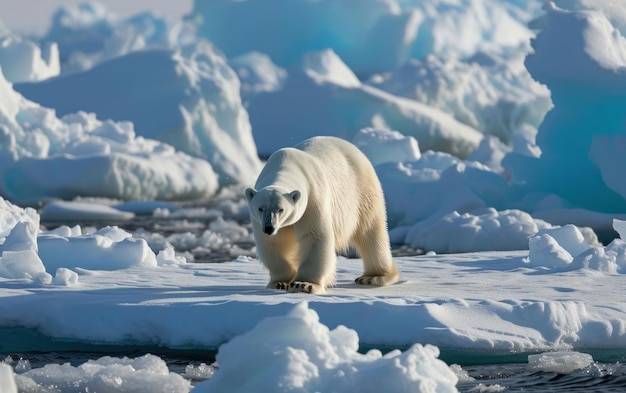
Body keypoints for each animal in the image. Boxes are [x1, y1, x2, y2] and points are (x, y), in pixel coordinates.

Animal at [241, 136, 398, 292]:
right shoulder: (260, 221)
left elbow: (315, 235)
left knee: (370, 231)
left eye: (281, 209)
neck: (285, 166)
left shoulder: (313, 197)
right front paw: (280, 282)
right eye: (260, 208)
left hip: (362, 191)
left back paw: (373, 277)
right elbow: (274, 243)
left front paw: (303, 284)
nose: (269, 228)